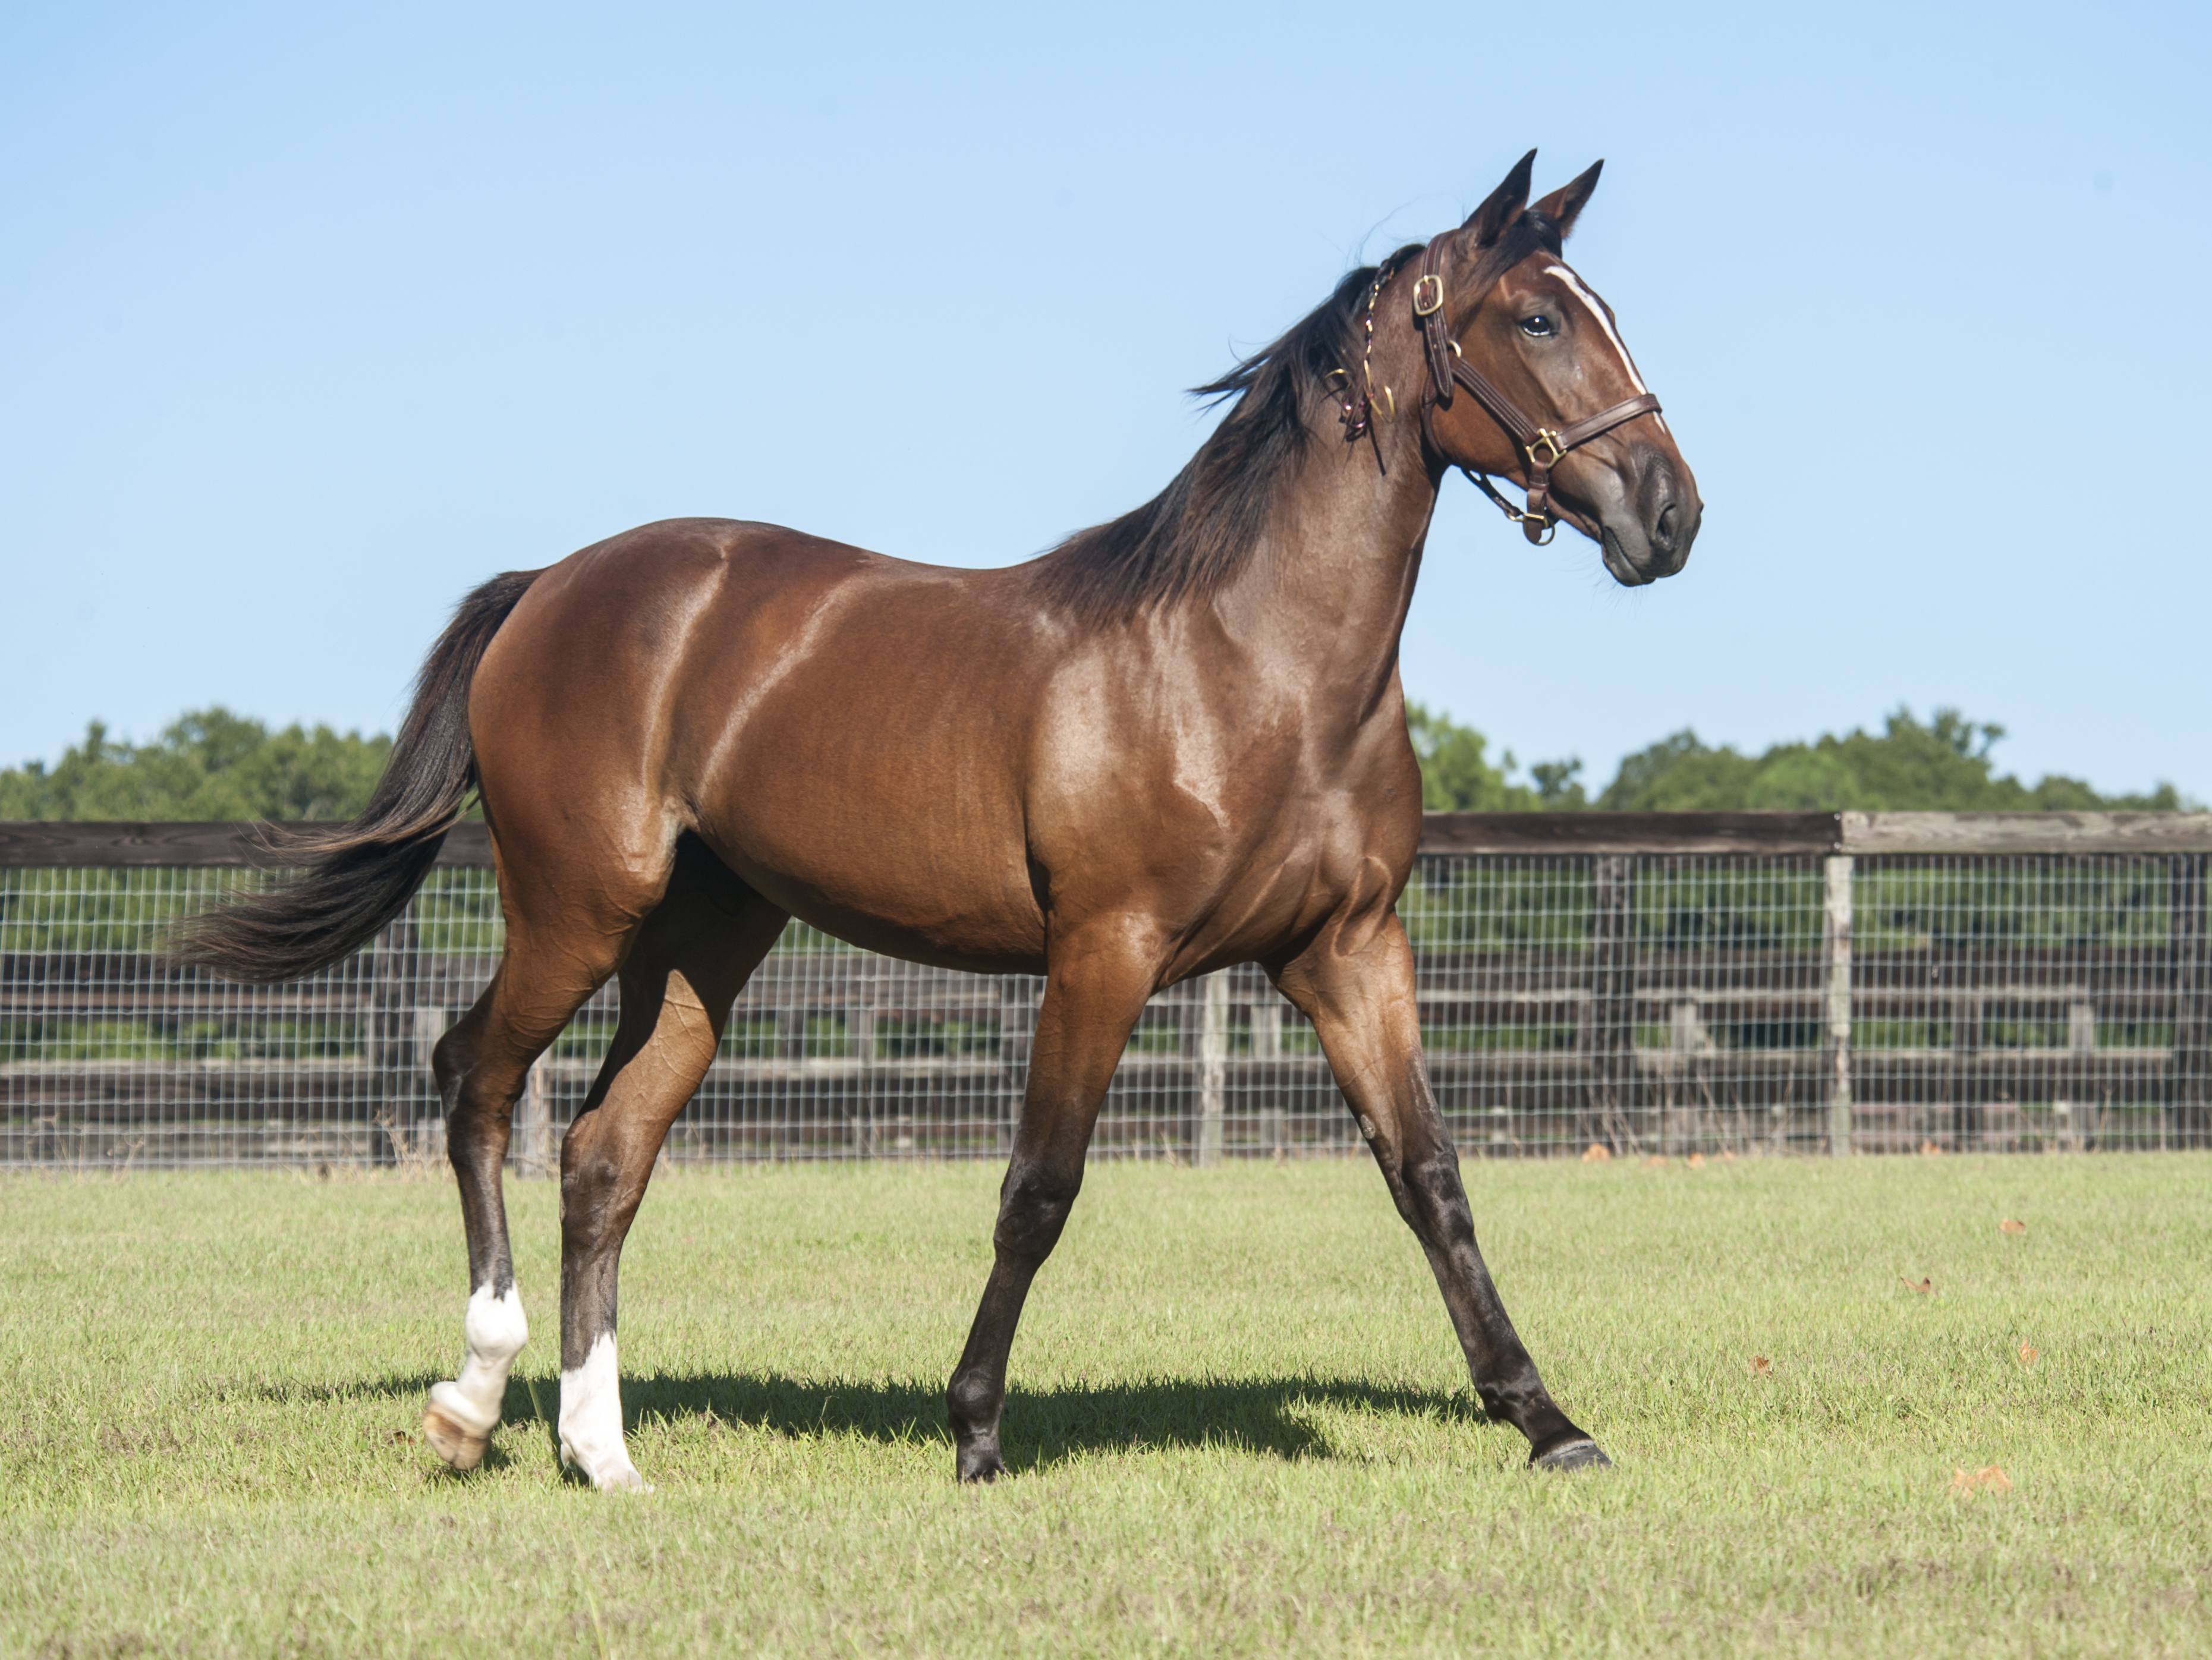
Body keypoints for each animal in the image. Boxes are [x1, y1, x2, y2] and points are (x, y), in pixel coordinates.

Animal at [185, 149, 1689, 1485]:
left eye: (1604, 308)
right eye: (1539, 317)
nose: (1668, 515)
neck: (1250, 661)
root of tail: (550, 584)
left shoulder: (1348, 949)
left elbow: (1429, 1175)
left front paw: (1545, 1421)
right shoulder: (1104, 951)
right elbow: (1039, 1187)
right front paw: (973, 1429)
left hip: (701, 941)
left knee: (605, 1153)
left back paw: (599, 1451)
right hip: (575, 909)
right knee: (474, 1083)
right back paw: (471, 1399)